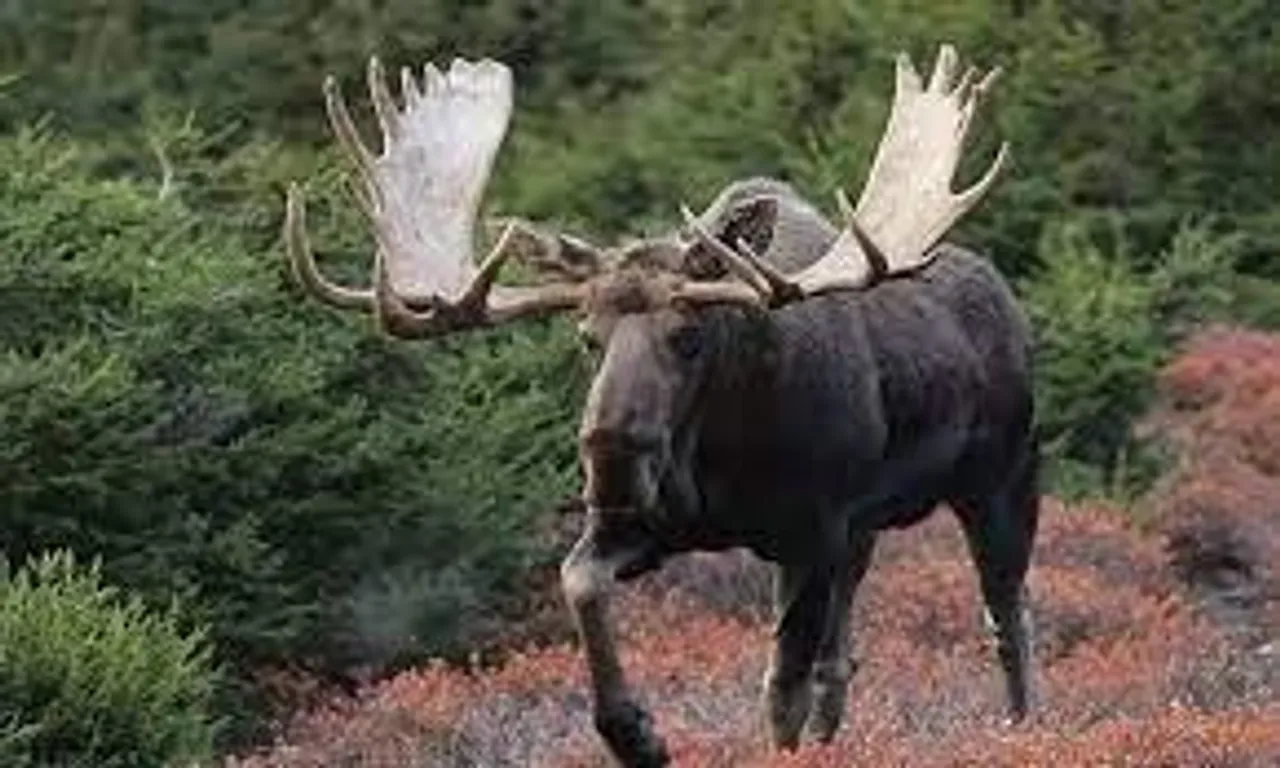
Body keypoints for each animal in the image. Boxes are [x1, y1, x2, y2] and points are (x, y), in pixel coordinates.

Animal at [283, 44, 1038, 767]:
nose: (610, 456)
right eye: (586, 337)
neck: (725, 455)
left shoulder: (812, 531)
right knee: (842, 658)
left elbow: (780, 689)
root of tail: (1008, 300)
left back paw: (1019, 730)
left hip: (1000, 482)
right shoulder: (660, 525)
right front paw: (637, 735)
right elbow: (580, 583)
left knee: (1007, 617)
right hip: (865, 531)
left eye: (688, 335)